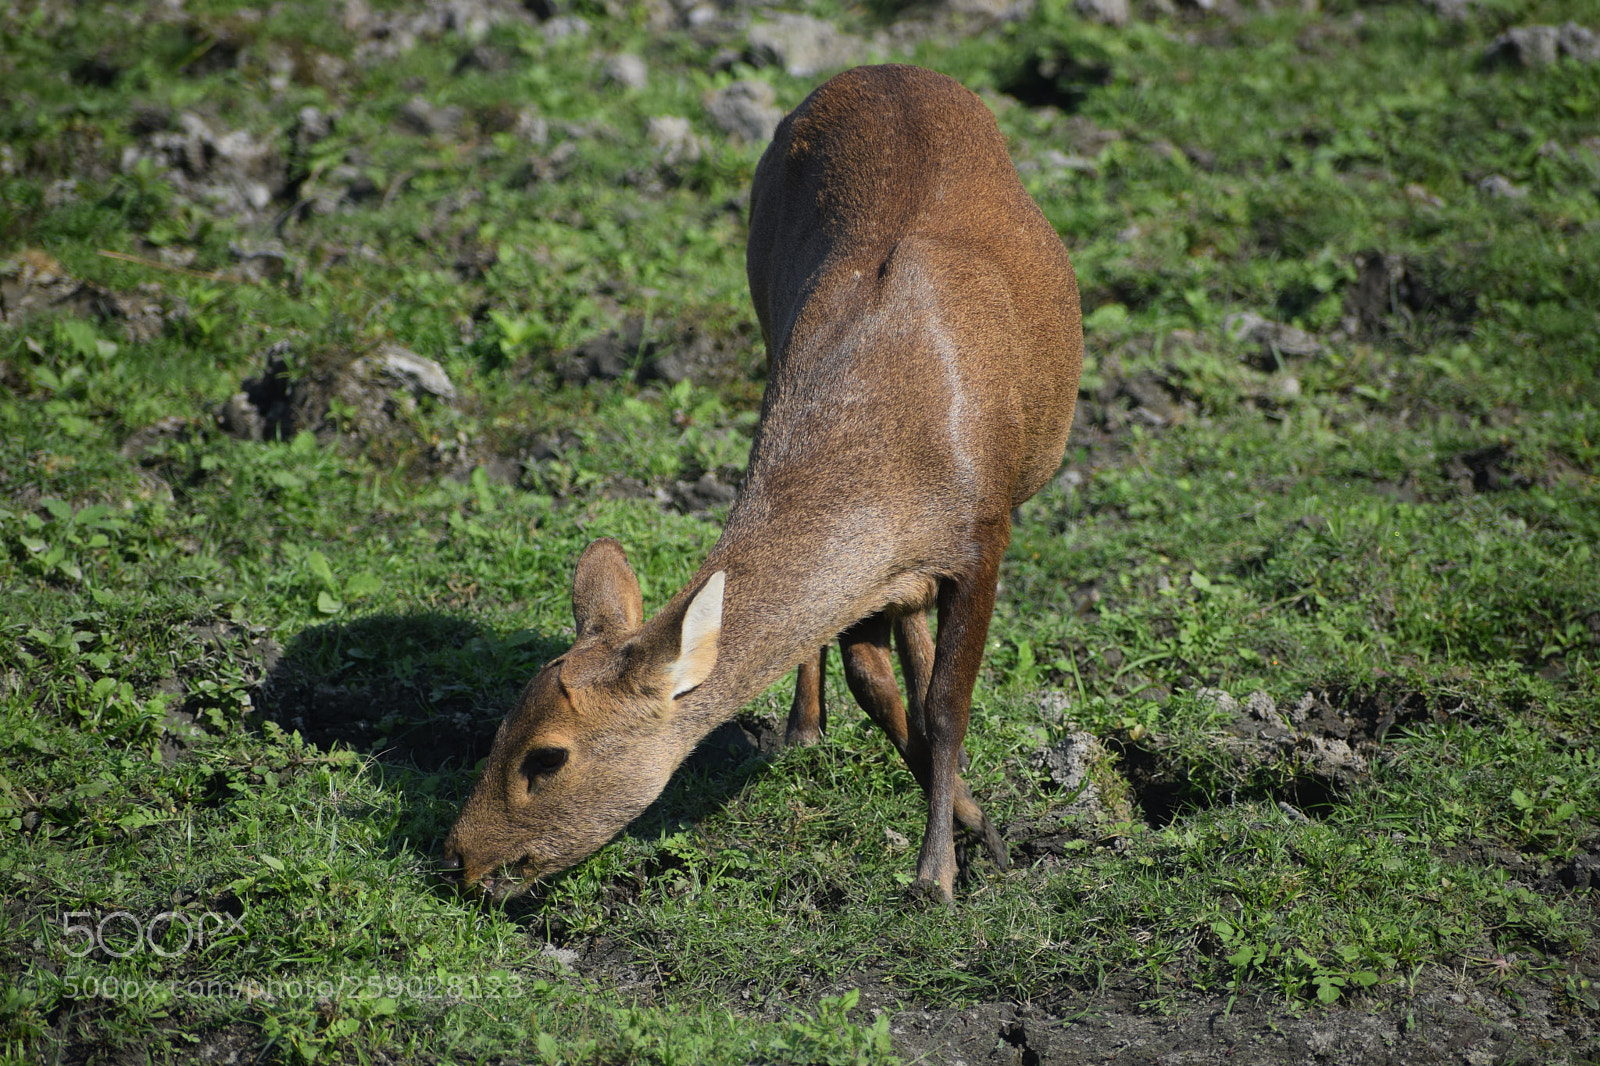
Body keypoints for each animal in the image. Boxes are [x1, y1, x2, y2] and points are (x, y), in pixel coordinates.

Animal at [442, 64, 1082, 903]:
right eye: (495, 733)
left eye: (545, 756)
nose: (459, 857)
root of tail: (877, 70)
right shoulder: (877, 576)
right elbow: (878, 684)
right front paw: (976, 828)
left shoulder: (987, 533)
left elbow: (945, 705)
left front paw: (942, 872)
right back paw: (803, 728)